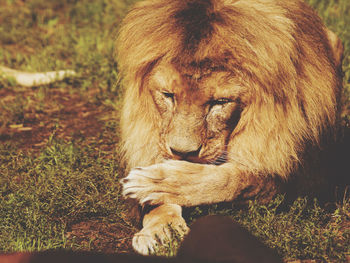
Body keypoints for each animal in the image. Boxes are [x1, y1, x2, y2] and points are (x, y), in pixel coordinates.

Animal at [115, 0, 344, 256]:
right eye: (168, 95)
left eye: (220, 102)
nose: (182, 153)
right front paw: (163, 229)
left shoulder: (300, 181)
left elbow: (232, 180)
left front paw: (156, 181)